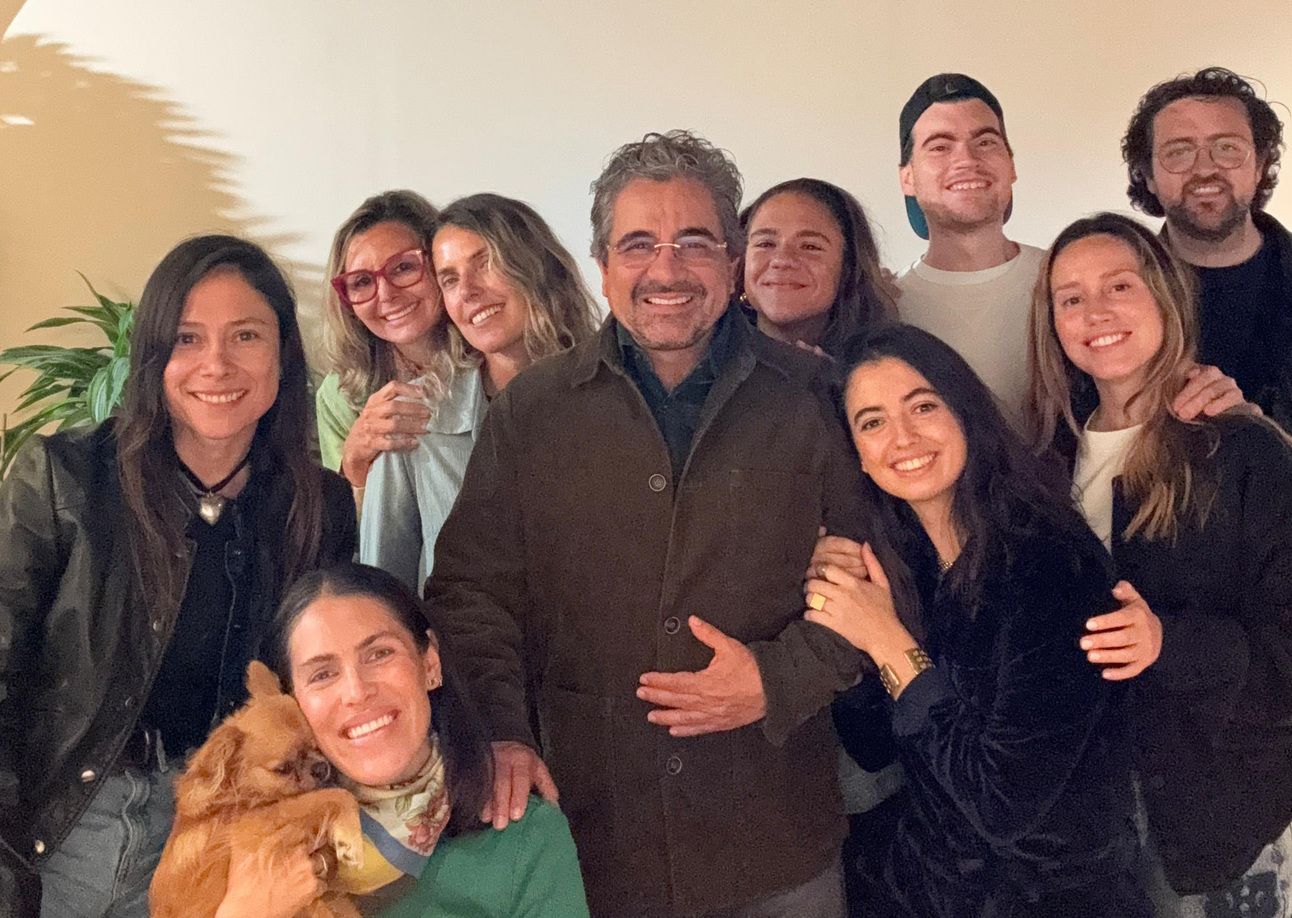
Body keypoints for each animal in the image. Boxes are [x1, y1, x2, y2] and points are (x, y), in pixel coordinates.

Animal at [149, 660, 362, 918]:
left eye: (316, 746)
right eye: (282, 768)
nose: (321, 768)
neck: (238, 799)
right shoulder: (255, 827)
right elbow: (336, 795)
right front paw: (351, 836)